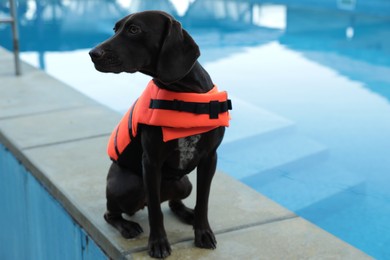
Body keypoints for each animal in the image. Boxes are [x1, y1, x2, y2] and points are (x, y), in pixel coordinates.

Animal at [90, 10, 230, 258]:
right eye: (115, 29)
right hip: (127, 185)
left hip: (184, 183)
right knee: (112, 213)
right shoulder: (151, 162)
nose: (92, 54)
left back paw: (188, 213)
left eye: (134, 29)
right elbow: (156, 211)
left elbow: (203, 201)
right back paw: (127, 226)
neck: (183, 92)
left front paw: (202, 232)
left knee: (174, 203)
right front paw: (158, 243)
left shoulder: (209, 159)